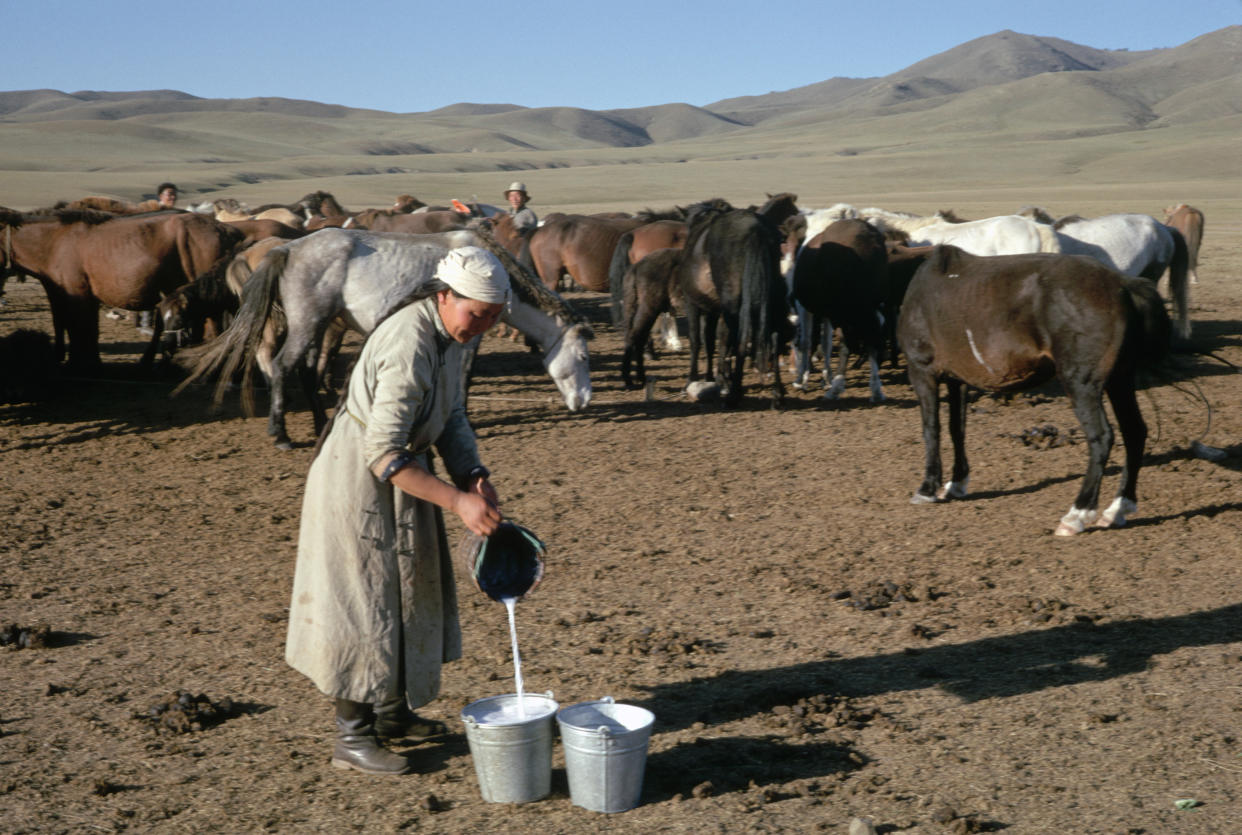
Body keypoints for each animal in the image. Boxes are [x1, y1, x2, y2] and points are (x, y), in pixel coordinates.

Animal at [0, 207, 244, 367]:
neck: (55, 242)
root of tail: (227, 230)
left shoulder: (79, 295)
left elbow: (82, 328)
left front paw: (83, 361)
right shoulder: (60, 292)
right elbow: (65, 324)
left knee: (212, 327)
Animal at [894, 244, 1172, 539]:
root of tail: (1123, 284)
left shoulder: (922, 371)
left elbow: (931, 430)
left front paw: (927, 488)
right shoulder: (956, 379)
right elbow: (957, 430)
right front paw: (956, 483)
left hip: (1082, 383)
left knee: (1101, 438)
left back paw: (1077, 514)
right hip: (1119, 379)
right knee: (1134, 432)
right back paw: (1118, 508)